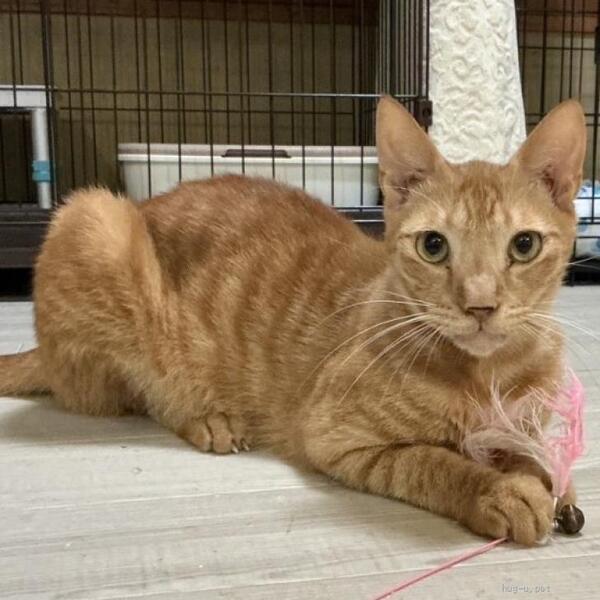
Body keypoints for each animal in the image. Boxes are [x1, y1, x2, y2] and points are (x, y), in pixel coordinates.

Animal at [0, 96, 586, 546]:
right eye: (434, 246)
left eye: (524, 245)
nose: (480, 304)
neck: (486, 376)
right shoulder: (337, 437)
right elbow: (433, 462)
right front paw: (499, 490)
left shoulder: (526, 417)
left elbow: (528, 447)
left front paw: (552, 481)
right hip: (97, 221)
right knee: (145, 392)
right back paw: (208, 417)